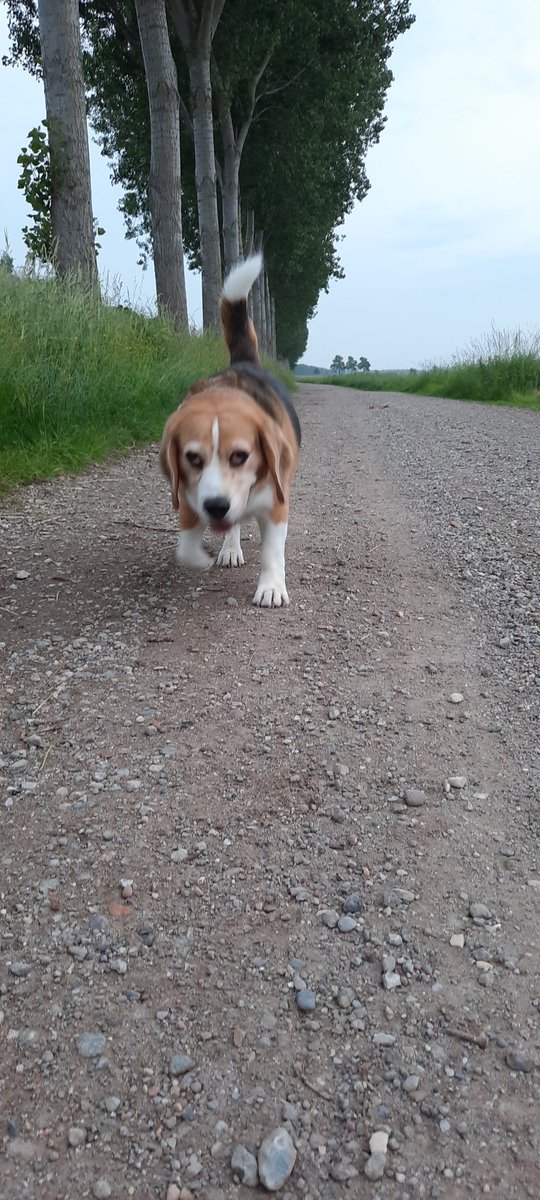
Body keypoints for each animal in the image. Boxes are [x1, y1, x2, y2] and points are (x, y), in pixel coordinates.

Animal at [160, 254, 301, 607]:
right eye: (192, 458)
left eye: (240, 456)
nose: (216, 506)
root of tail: (242, 363)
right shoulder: (187, 494)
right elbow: (186, 546)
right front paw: (201, 557)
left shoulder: (277, 503)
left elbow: (272, 551)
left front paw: (271, 588)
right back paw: (230, 549)